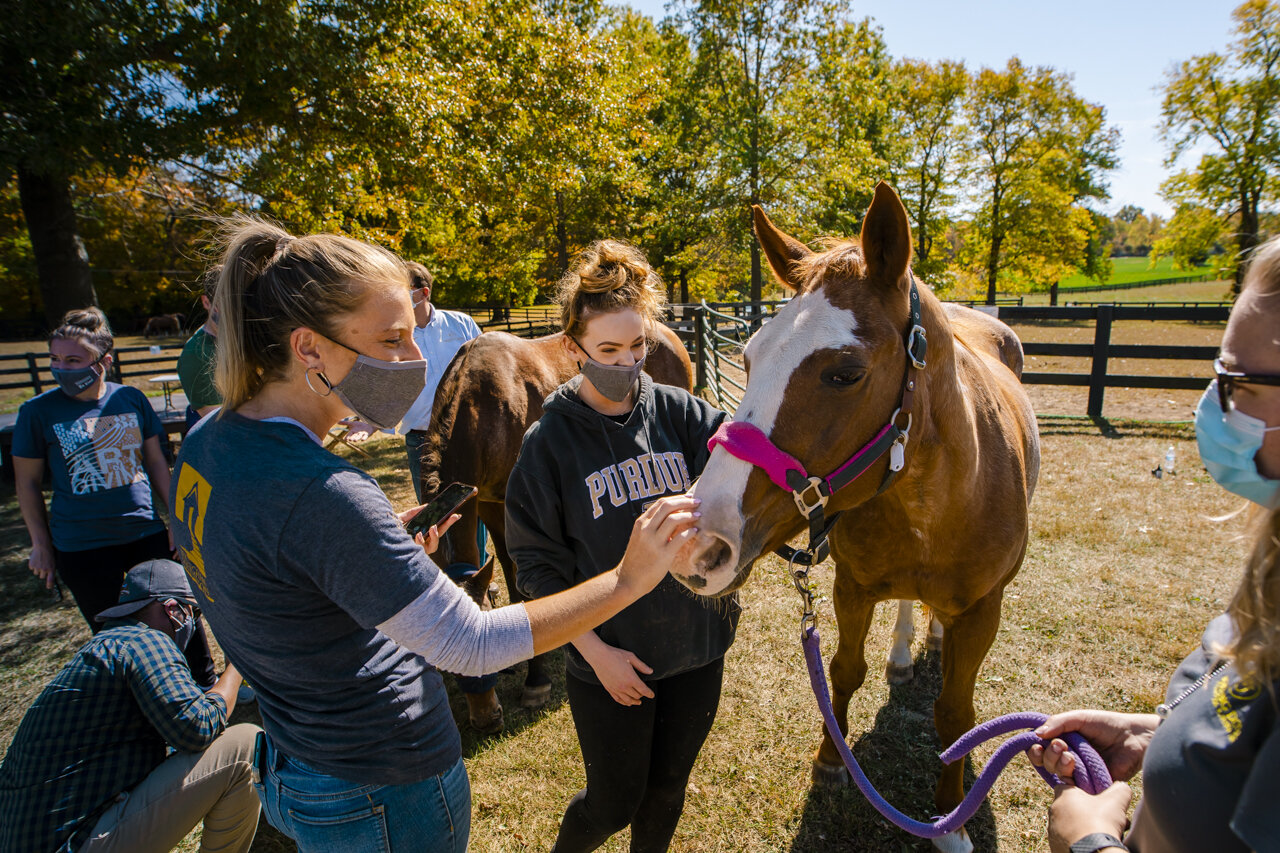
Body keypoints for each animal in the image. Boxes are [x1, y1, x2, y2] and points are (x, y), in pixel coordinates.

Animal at [421, 323, 695, 712]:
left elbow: (518, 580)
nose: (487, 718)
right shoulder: (485, 501)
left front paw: (536, 680)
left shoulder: (507, 504)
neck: (481, 409)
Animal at [669, 182, 1039, 853]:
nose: (698, 543)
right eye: (751, 355)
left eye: (845, 373)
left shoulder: (983, 609)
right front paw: (831, 762)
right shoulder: (852, 587)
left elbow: (957, 713)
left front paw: (950, 821)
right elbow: (843, 671)